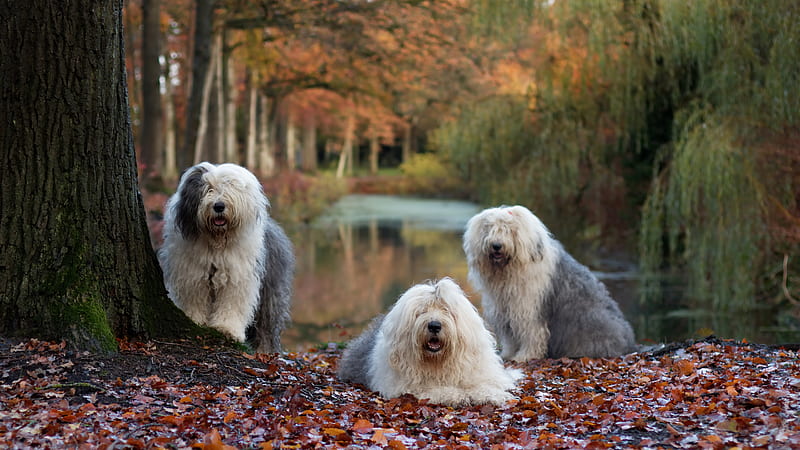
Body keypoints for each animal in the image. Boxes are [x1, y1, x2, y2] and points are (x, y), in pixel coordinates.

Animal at [159, 160, 294, 354]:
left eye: (230, 186)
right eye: (208, 188)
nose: (219, 206)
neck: (217, 244)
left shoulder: (237, 279)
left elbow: (232, 304)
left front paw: (227, 329)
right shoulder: (192, 276)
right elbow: (194, 299)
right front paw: (194, 321)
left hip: (271, 293)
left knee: (267, 325)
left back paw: (265, 351)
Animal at [462, 206, 636, 360]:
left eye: (509, 230)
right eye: (489, 229)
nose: (496, 246)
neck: (509, 272)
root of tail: (628, 343)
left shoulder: (527, 309)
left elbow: (531, 334)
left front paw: (525, 356)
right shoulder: (505, 310)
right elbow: (510, 337)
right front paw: (508, 354)